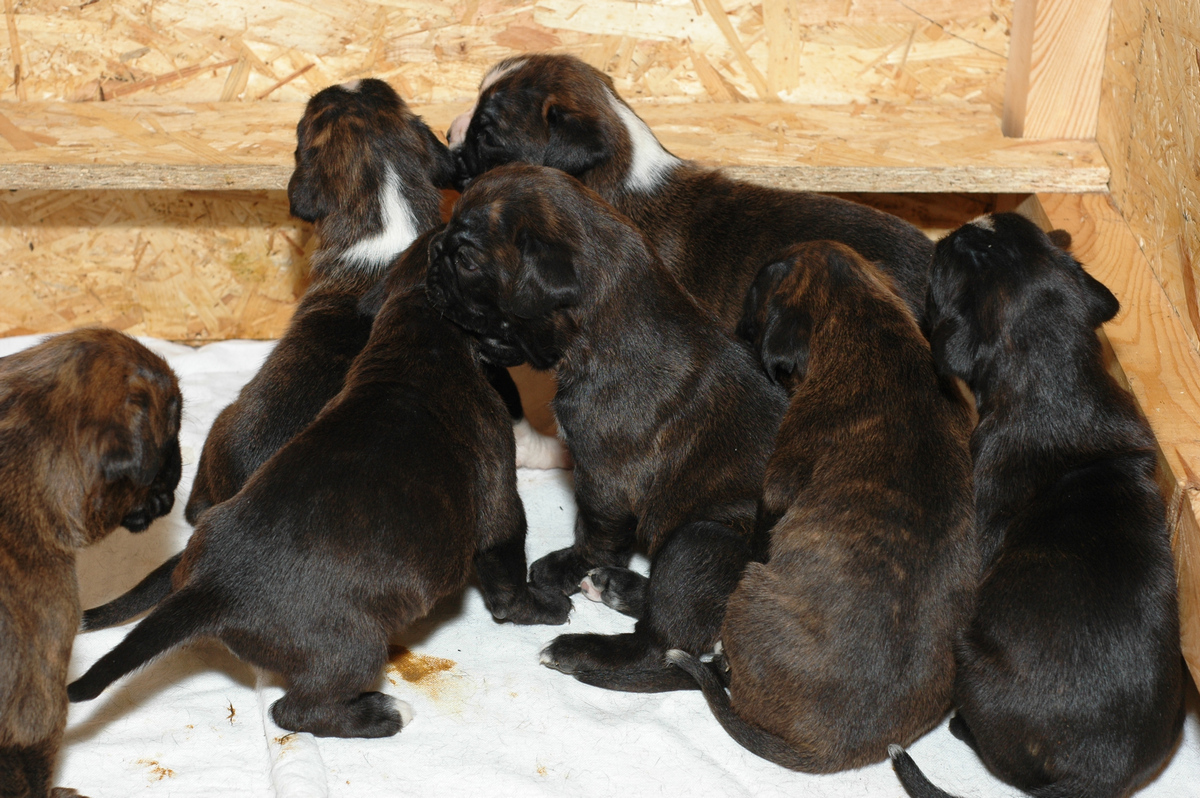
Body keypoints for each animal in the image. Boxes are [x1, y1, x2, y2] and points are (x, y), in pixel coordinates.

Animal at [67, 232, 572, 738]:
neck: (415, 345)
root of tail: (211, 586)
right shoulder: (500, 505)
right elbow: (508, 579)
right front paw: (544, 607)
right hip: (353, 647)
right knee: (296, 710)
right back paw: (382, 714)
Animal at [424, 163, 788, 690]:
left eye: (468, 260)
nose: (432, 251)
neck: (603, 326)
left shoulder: (604, 477)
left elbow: (596, 530)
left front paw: (571, 565)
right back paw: (618, 587)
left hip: (702, 539)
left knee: (661, 644)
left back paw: (580, 649)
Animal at [667, 241, 978, 772]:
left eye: (754, 295)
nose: (733, 329)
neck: (869, 323)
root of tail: (834, 751)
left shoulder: (778, 483)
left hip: (751, 589)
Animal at [888, 213, 1184, 797]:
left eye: (947, 269)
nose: (965, 227)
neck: (1057, 373)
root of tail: (1097, 773)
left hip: (970, 657)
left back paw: (961, 727)